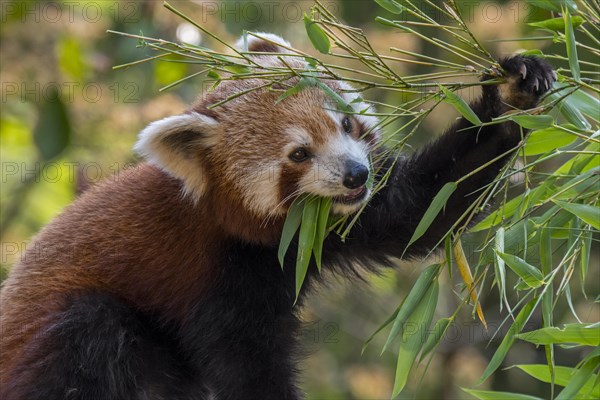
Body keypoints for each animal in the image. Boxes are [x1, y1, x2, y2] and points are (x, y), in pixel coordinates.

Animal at [0, 34, 556, 400]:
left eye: (346, 123)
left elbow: (417, 209)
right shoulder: (218, 274)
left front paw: (514, 91)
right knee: (92, 332)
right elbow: (246, 363)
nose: (355, 175)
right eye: (299, 155)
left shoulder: (325, 227)